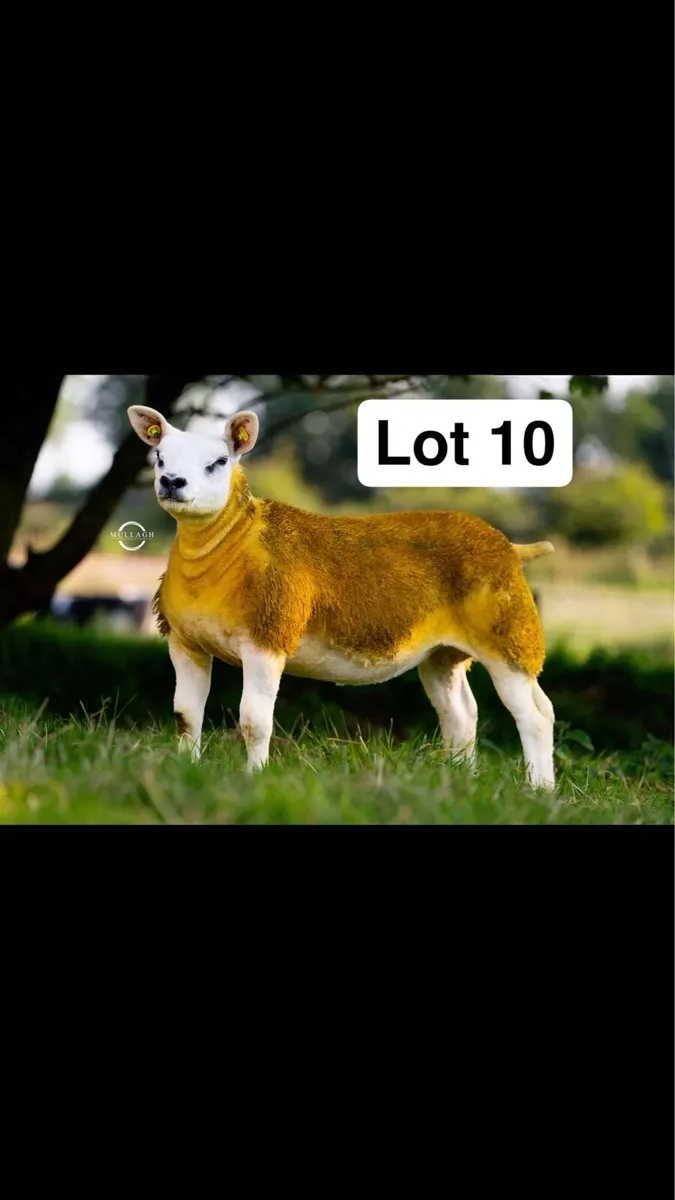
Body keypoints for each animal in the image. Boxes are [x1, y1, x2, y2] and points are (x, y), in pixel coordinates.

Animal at [128, 405, 557, 788]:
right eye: (160, 457)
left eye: (218, 462)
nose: (172, 482)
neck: (229, 541)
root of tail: (510, 547)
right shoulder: (185, 641)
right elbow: (186, 716)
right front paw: (186, 770)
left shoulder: (268, 637)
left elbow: (254, 721)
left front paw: (254, 777)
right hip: (443, 653)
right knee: (463, 715)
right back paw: (460, 779)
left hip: (511, 636)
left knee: (536, 715)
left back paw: (540, 789)